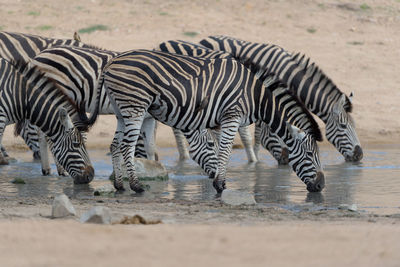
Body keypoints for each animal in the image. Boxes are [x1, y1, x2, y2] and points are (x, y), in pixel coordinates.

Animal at [87, 49, 324, 194]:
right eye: (310, 154)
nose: (321, 186)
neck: (255, 96)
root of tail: (111, 63)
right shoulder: (232, 116)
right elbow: (226, 150)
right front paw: (220, 185)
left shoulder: (219, 122)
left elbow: (219, 150)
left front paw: (219, 181)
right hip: (135, 107)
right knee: (126, 146)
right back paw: (136, 186)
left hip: (121, 111)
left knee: (114, 145)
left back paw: (119, 185)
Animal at [200, 35, 362, 163]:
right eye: (343, 126)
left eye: (354, 126)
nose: (359, 155)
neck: (290, 75)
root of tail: (207, 38)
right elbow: (261, 132)